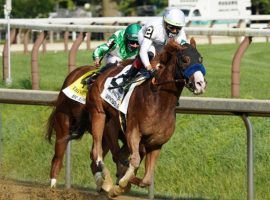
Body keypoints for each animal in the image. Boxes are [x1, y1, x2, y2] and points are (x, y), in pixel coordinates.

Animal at [86, 38, 207, 198]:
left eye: (200, 59)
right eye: (185, 59)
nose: (200, 84)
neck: (159, 101)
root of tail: (101, 74)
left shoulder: (156, 143)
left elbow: (146, 179)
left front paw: (124, 182)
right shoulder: (133, 132)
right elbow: (134, 161)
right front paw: (120, 184)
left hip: (112, 125)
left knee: (116, 154)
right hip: (98, 113)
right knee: (97, 153)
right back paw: (105, 181)